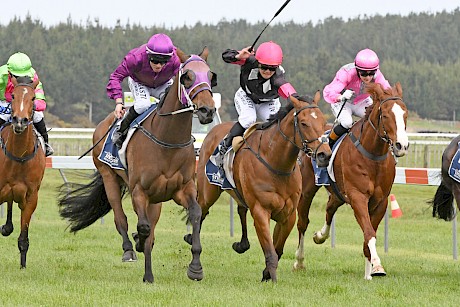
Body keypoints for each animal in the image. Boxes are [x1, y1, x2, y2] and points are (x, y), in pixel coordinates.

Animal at [57, 48, 216, 284]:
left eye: (211, 76)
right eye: (187, 76)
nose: (207, 110)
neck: (167, 139)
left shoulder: (183, 188)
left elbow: (195, 213)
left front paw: (195, 267)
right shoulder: (139, 191)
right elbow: (143, 227)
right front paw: (147, 271)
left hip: (156, 199)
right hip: (109, 177)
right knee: (120, 218)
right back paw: (129, 249)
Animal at [190, 92, 330, 282]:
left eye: (323, 122)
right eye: (304, 123)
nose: (325, 155)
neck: (277, 164)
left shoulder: (288, 215)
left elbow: (278, 249)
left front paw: (266, 274)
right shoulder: (261, 211)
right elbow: (270, 251)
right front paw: (272, 278)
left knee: (241, 209)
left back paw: (242, 244)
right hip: (208, 192)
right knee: (201, 213)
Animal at [292, 83, 408, 280]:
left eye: (405, 114)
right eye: (385, 115)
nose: (402, 146)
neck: (373, 156)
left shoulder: (381, 201)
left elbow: (369, 234)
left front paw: (370, 272)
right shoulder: (357, 197)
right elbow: (369, 232)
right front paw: (377, 265)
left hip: (338, 193)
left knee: (330, 207)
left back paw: (320, 235)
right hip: (307, 190)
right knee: (302, 222)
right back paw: (299, 261)